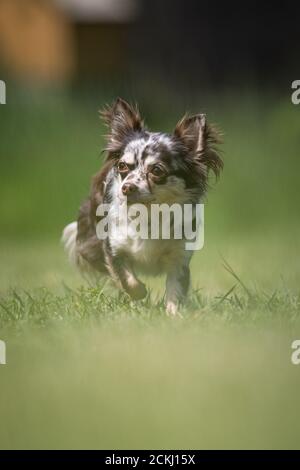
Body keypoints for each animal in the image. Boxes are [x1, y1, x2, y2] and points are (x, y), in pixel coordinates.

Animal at [63, 97, 223, 314]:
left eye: (156, 170)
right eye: (122, 166)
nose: (127, 187)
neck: (148, 215)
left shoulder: (179, 257)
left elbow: (175, 288)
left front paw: (174, 315)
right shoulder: (114, 248)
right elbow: (127, 279)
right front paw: (139, 294)